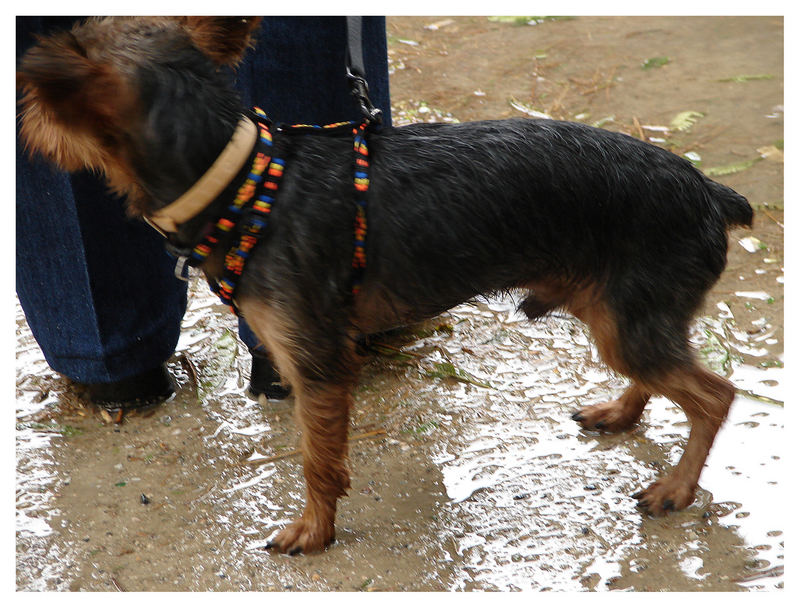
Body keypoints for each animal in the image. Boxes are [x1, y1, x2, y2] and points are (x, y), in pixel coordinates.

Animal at [20, 15, 756, 556]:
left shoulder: (315, 362)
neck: (242, 180)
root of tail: (710, 193)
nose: (25, 119)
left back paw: (676, 489)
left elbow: (317, 459)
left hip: (629, 313)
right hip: (622, 313)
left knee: (712, 396)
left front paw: (313, 532)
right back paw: (622, 412)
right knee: (659, 372)